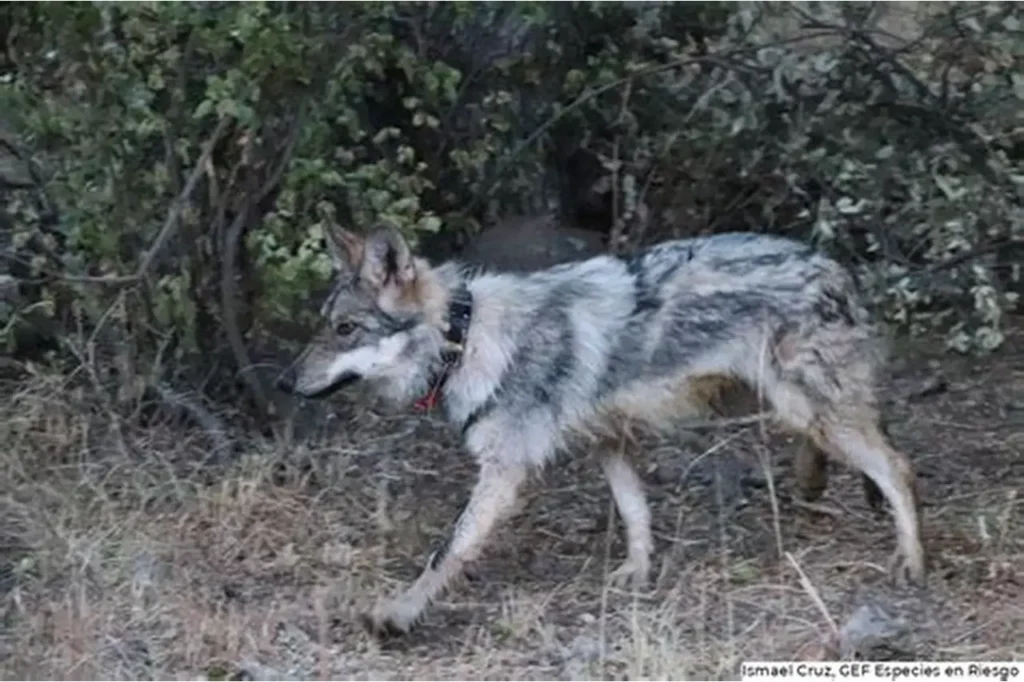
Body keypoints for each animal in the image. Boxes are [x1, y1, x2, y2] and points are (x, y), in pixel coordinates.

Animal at [276, 222, 926, 636]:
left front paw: (397, 615)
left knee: (897, 466)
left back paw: (911, 562)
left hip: (805, 406)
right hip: (793, 406)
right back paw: (812, 484)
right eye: (324, 325)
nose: (284, 382)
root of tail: (833, 265)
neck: (467, 337)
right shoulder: (608, 443)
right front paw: (637, 575)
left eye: (345, 329)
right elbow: (636, 513)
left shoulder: (504, 472)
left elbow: (448, 550)